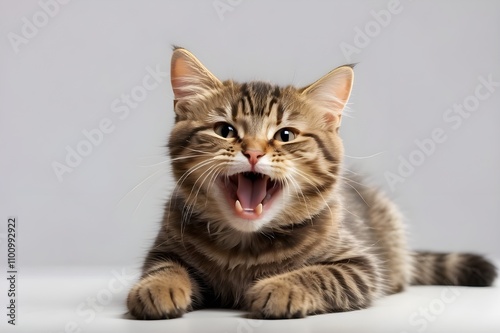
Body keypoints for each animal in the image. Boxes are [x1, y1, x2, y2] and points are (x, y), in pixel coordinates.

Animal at [126, 46, 496, 320]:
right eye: (225, 130)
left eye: (285, 135)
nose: (253, 152)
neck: (244, 246)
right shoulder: (164, 246)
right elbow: (164, 267)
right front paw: (157, 287)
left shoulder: (362, 267)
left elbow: (320, 274)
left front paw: (280, 287)